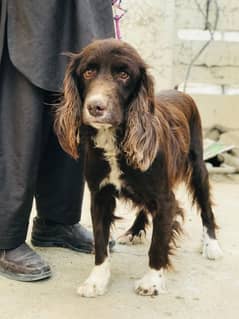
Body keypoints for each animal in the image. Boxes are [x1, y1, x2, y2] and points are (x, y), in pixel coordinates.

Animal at [54, 38, 222, 298]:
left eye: (124, 74)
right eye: (88, 72)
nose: (95, 107)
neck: (114, 140)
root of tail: (181, 91)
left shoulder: (165, 199)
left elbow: (158, 243)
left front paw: (152, 281)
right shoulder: (99, 196)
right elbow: (100, 243)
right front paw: (97, 280)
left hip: (197, 166)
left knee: (205, 207)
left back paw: (212, 245)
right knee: (145, 207)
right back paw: (134, 231)